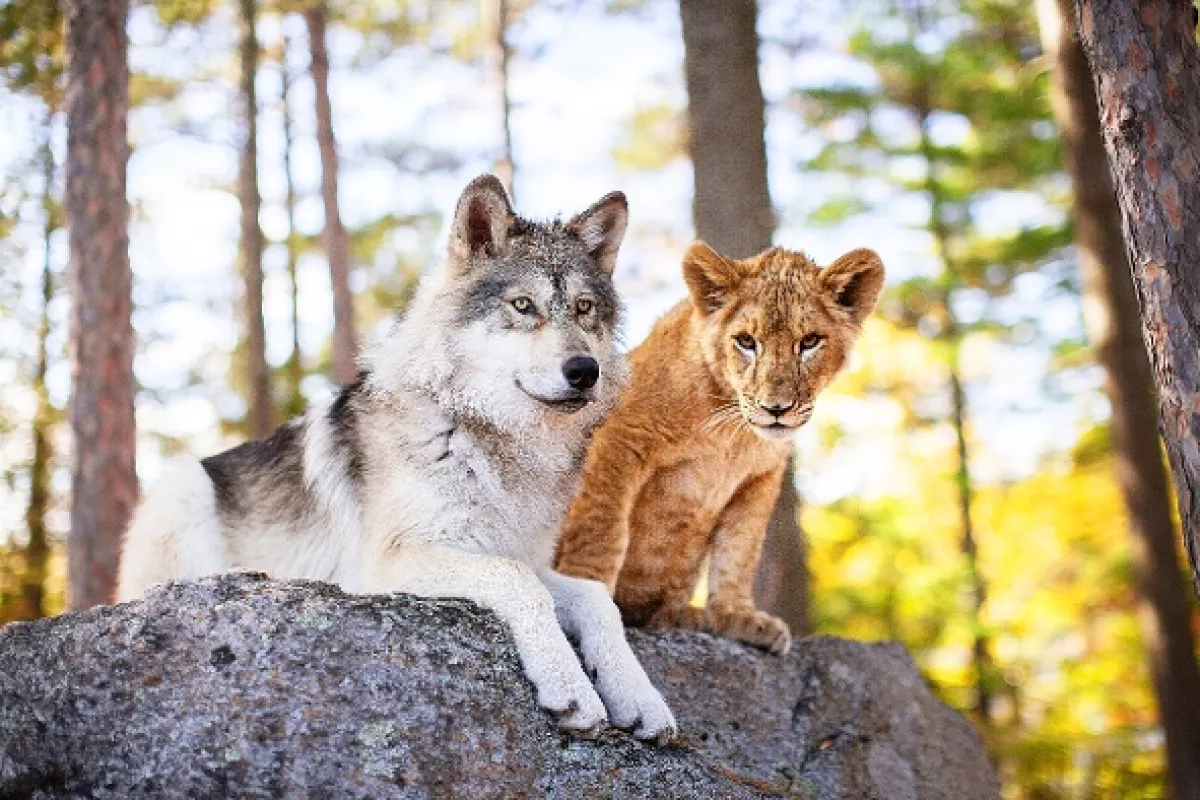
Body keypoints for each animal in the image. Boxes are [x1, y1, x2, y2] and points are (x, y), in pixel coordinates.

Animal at [117, 175, 676, 741]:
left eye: (584, 309)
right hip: (182, 486)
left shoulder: (522, 555)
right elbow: (517, 582)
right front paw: (571, 687)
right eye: (523, 305)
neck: (487, 438)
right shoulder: (390, 565)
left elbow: (596, 598)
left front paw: (641, 698)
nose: (585, 371)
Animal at [554, 241, 884, 653]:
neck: (734, 434)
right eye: (746, 341)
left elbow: (739, 551)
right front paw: (590, 598)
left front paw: (736, 617)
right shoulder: (618, 437)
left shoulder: (761, 478)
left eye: (809, 342)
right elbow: (602, 529)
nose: (776, 409)